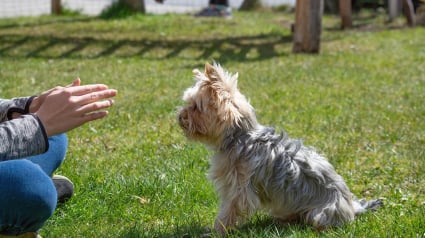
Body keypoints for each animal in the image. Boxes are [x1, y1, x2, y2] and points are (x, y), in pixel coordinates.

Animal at [177, 61, 382, 234]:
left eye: (195, 107)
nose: (179, 116)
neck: (239, 136)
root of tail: (353, 206)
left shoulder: (239, 189)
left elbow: (229, 211)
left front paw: (217, 231)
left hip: (321, 213)